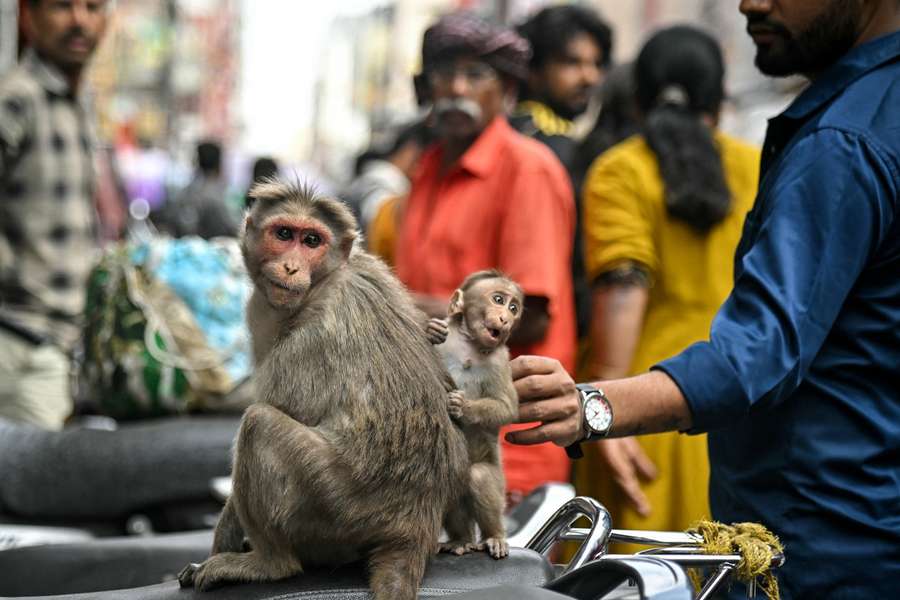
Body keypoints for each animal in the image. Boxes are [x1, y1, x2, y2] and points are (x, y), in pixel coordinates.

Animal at [178, 180, 468, 600]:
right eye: (284, 234)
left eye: (312, 240)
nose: (290, 266)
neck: (325, 280)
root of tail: (417, 523)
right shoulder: (372, 266)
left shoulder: (304, 341)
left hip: (336, 507)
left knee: (258, 425)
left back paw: (268, 563)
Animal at [425, 270, 524, 560]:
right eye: (498, 300)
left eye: (514, 308)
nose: (505, 319)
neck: (469, 343)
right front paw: (431, 330)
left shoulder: (500, 359)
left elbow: (507, 408)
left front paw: (462, 407)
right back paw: (461, 539)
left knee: (479, 476)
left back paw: (494, 537)